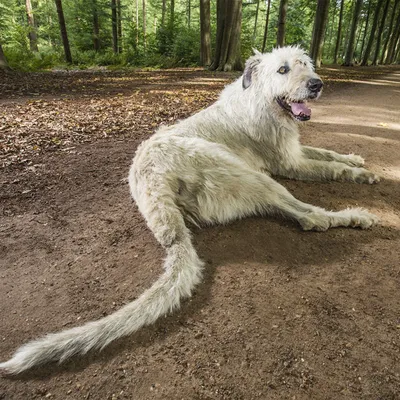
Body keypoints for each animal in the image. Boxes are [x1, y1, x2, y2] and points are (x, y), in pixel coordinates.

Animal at [0, 47, 378, 376]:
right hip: (247, 173)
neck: (259, 100)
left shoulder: (296, 150)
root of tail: (154, 189)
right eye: (283, 70)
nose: (317, 84)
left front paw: (355, 159)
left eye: (305, 64)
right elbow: (329, 167)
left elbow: (327, 153)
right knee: (310, 217)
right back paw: (356, 215)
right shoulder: (288, 163)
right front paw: (361, 174)